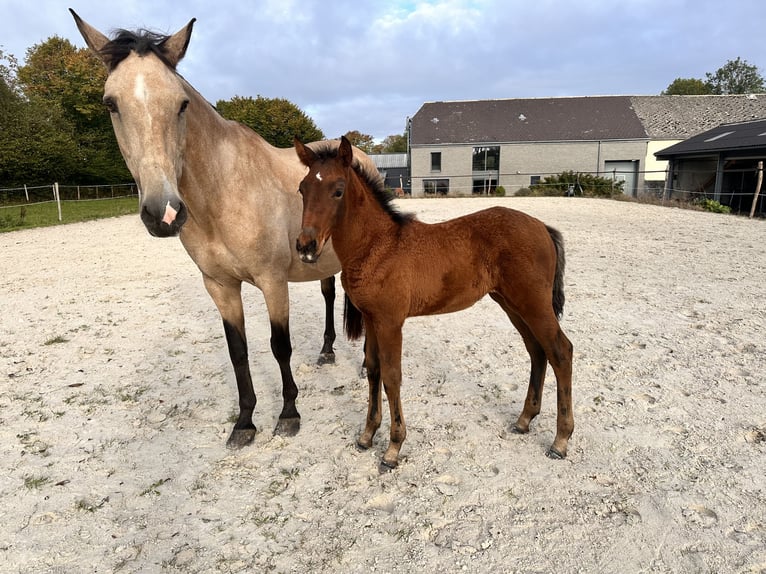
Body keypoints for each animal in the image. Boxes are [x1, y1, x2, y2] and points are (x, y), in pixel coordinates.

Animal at [70, 11, 364, 448]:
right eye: (111, 104)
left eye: (181, 104)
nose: (164, 212)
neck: (223, 191)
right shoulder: (220, 286)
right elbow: (237, 351)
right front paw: (244, 422)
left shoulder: (272, 281)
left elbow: (280, 346)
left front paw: (289, 413)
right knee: (329, 294)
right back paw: (327, 351)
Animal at [294, 136, 574, 470]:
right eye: (302, 189)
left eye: (338, 190)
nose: (305, 246)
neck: (377, 245)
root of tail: (542, 227)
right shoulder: (372, 318)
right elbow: (373, 370)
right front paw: (367, 435)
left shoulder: (390, 322)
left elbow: (392, 376)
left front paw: (393, 447)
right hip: (511, 303)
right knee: (537, 351)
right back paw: (524, 420)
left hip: (533, 303)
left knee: (560, 351)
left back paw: (560, 440)